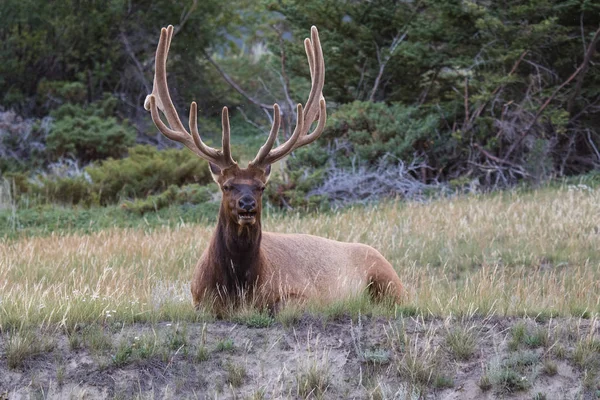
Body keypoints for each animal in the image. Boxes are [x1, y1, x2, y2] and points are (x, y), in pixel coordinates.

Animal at [144, 25, 404, 314]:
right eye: (227, 186)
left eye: (261, 187)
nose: (247, 205)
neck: (239, 289)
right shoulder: (199, 299)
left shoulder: (303, 295)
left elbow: (280, 307)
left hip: (389, 281)